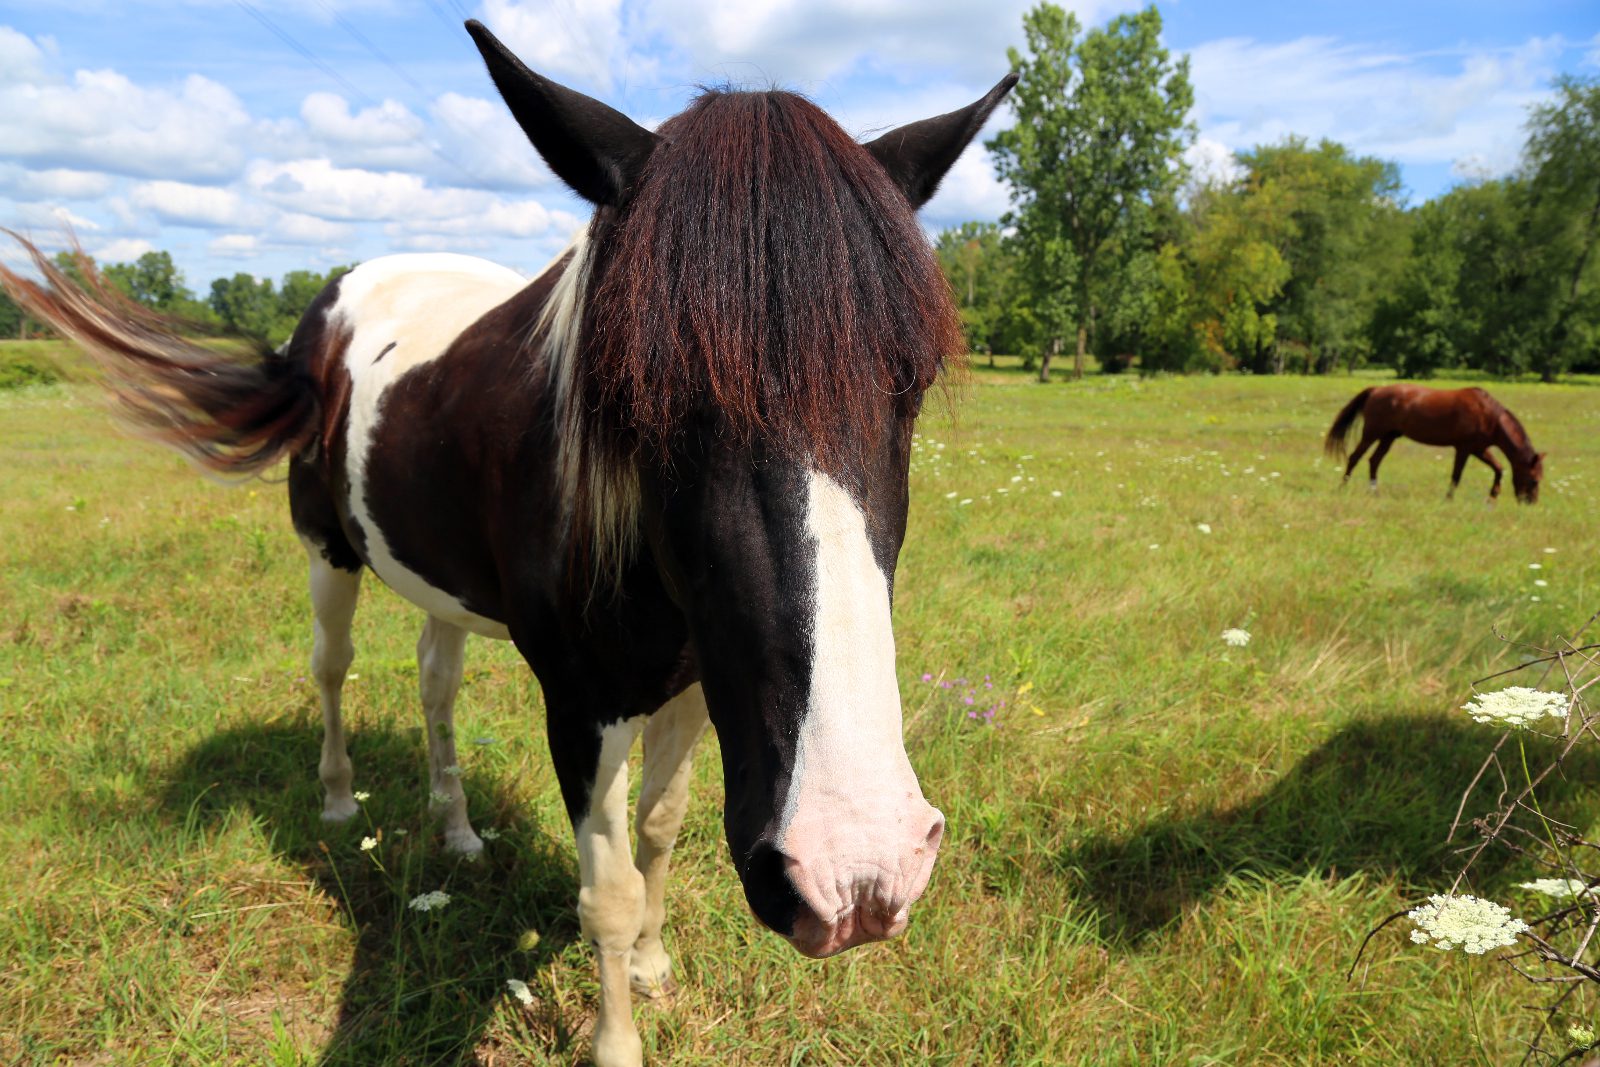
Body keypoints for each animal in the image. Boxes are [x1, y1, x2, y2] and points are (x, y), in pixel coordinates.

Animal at [3, 20, 1011, 1062]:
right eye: (640, 394)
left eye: (911, 383)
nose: (858, 873)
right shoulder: (580, 705)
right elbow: (606, 891)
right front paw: (616, 1037)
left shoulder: (699, 684)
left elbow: (661, 826)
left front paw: (653, 966)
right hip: (327, 554)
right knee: (332, 667)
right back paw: (338, 797)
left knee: (434, 683)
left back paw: (454, 829)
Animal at [1324, 383, 1536, 505]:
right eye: (1534, 479)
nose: (1530, 503)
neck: (1487, 414)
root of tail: (1376, 390)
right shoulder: (1464, 448)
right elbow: (1456, 475)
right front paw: (1449, 499)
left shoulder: (1479, 448)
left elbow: (1499, 468)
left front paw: (1492, 497)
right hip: (1372, 434)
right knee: (1355, 457)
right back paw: (1342, 488)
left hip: (1388, 437)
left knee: (1374, 461)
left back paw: (1374, 492)